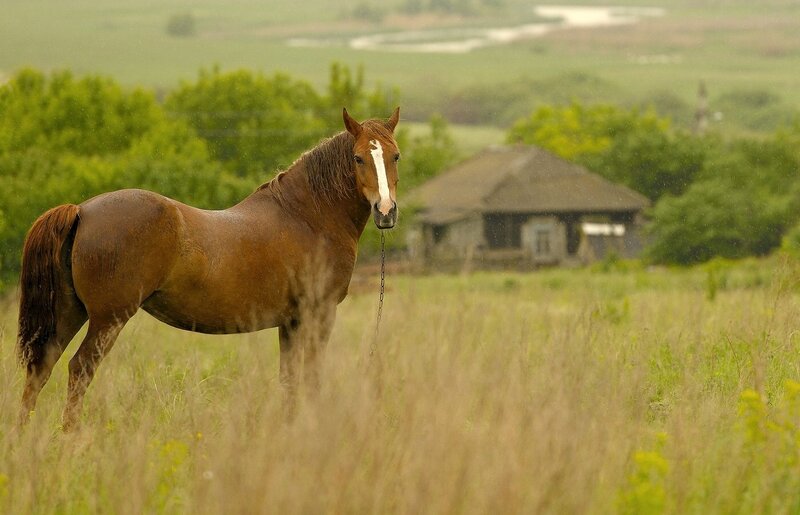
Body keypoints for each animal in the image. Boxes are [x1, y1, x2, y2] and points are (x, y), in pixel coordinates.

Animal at [16, 108, 401, 430]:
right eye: (358, 157)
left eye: (395, 155)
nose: (386, 211)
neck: (307, 216)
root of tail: (82, 210)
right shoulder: (318, 313)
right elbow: (311, 377)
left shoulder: (290, 322)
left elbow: (289, 380)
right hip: (107, 319)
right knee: (79, 369)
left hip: (70, 311)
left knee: (41, 369)